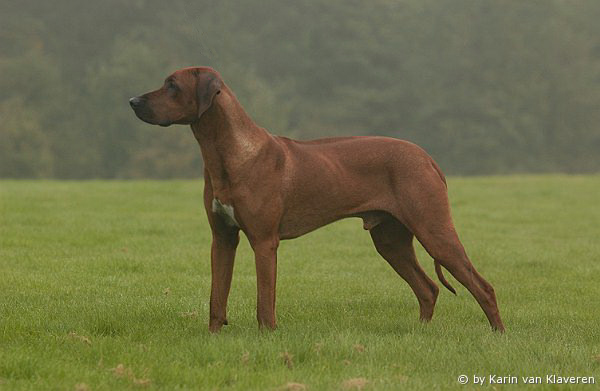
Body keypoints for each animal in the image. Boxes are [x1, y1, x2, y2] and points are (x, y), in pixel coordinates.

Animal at [130, 66, 506, 334]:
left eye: (172, 86)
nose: (132, 101)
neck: (227, 154)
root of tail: (427, 157)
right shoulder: (222, 239)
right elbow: (216, 297)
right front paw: (213, 337)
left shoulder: (264, 241)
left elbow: (264, 301)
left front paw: (267, 336)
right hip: (390, 239)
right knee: (428, 288)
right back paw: (421, 333)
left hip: (433, 228)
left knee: (483, 286)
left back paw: (498, 335)